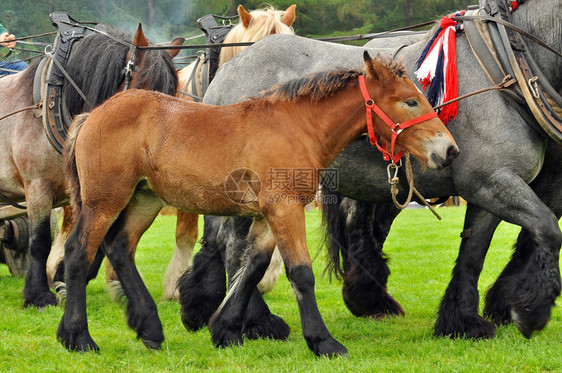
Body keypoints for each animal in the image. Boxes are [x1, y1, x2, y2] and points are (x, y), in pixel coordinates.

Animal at [0, 24, 179, 308]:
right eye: (143, 90)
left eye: (172, 93)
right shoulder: (37, 187)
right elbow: (39, 241)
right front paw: (38, 295)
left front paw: (65, 279)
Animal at [58, 52, 460, 354]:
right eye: (410, 101)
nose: (450, 150)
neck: (297, 127)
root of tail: (92, 115)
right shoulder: (285, 209)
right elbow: (301, 273)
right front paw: (324, 342)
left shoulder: (268, 216)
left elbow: (252, 267)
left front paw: (226, 330)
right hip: (104, 201)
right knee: (79, 252)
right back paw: (78, 337)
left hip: (144, 199)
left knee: (119, 247)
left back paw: (149, 328)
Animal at [177, 0, 556, 340]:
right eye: (411, 100)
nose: (449, 150)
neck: (504, 63)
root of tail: (228, 68)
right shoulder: (490, 180)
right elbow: (546, 229)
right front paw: (529, 310)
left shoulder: (496, 186)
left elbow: (477, 252)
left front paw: (468, 319)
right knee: (233, 246)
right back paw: (256, 321)